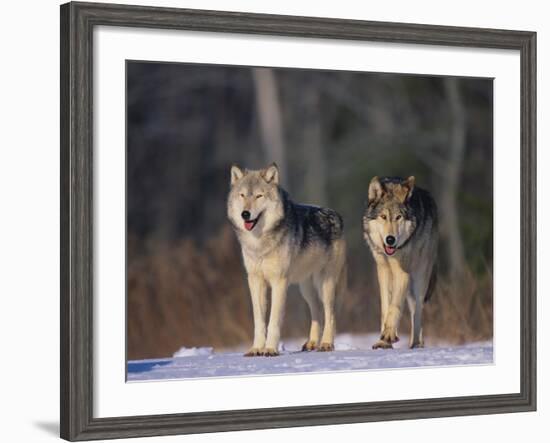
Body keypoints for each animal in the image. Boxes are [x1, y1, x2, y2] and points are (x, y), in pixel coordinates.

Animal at [227, 163, 348, 358]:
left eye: (259, 196)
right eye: (243, 195)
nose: (245, 214)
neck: (260, 243)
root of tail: (337, 215)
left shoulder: (279, 281)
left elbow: (274, 320)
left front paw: (270, 349)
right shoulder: (255, 280)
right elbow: (259, 321)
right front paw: (256, 349)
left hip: (325, 284)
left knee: (330, 314)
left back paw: (326, 344)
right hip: (306, 289)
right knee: (317, 312)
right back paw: (312, 343)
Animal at [364, 177, 438, 350]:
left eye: (398, 217)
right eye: (383, 216)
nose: (390, 239)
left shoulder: (402, 273)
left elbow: (395, 306)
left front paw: (389, 335)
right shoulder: (383, 271)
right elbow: (386, 307)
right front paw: (383, 342)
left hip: (419, 278)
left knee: (417, 311)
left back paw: (416, 344)